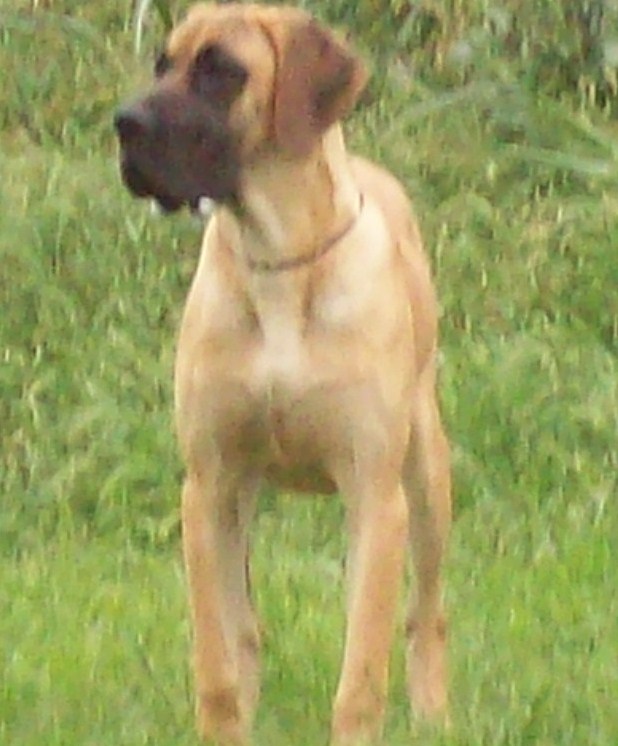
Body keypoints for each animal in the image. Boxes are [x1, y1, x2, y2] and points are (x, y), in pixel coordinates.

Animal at [115, 3, 451, 744]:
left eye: (221, 70)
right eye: (161, 63)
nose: (123, 122)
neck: (278, 259)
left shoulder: (375, 497)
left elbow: (361, 673)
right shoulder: (208, 489)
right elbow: (217, 659)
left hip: (426, 481)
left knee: (426, 611)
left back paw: (434, 712)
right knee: (243, 631)